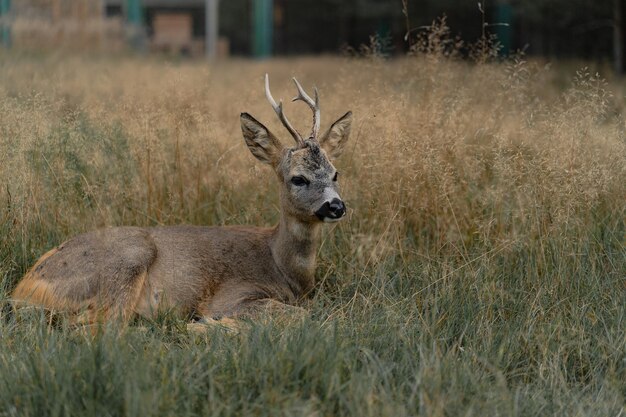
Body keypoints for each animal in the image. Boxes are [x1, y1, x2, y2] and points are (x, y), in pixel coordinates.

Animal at [11, 74, 352, 328]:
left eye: (335, 173)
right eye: (298, 178)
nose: (336, 206)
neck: (284, 267)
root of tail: (23, 288)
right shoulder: (233, 295)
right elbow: (303, 315)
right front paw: (208, 324)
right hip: (127, 257)